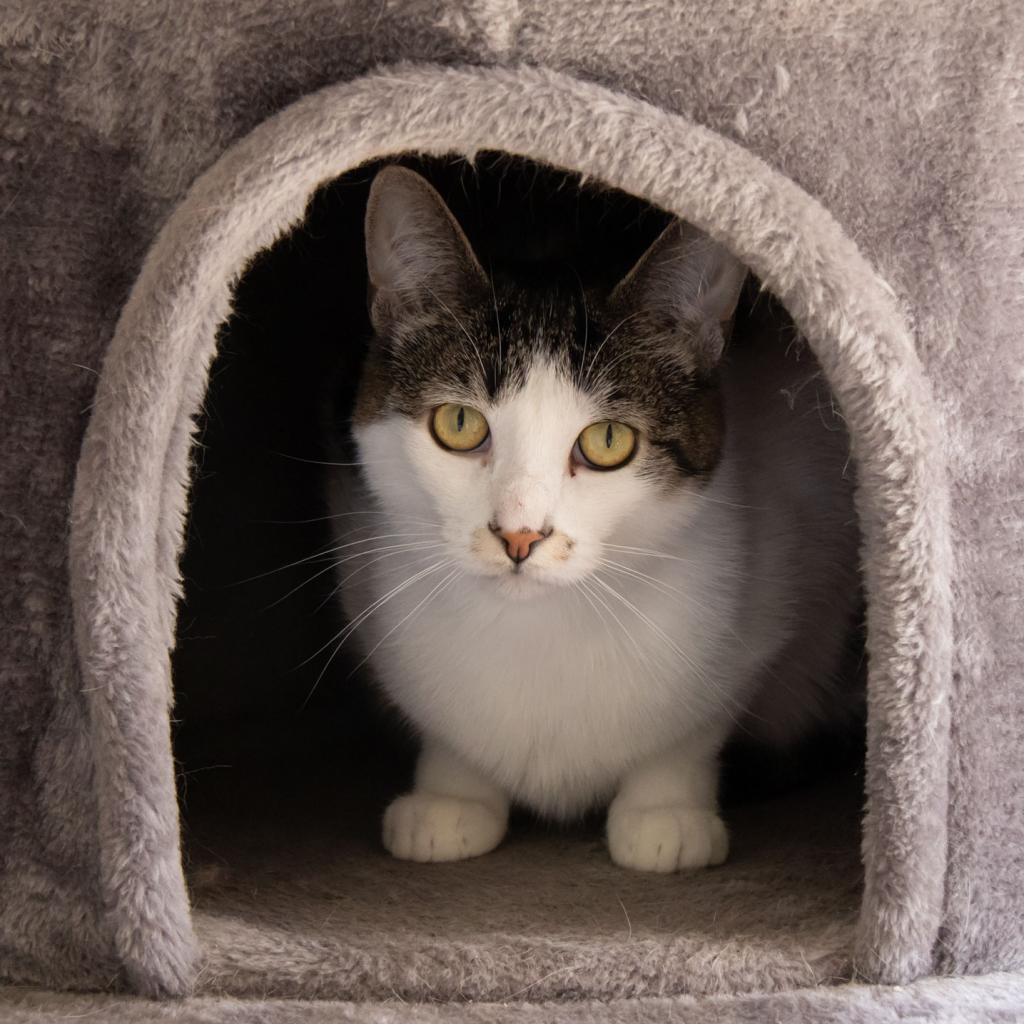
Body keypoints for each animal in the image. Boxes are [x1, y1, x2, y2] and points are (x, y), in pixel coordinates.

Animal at [325, 165, 856, 872]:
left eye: (608, 441)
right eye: (459, 424)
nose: (519, 535)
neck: (539, 630)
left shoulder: (786, 551)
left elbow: (696, 728)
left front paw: (665, 812)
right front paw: (452, 794)